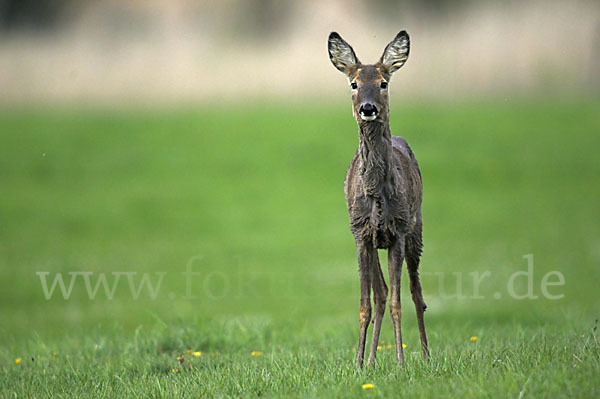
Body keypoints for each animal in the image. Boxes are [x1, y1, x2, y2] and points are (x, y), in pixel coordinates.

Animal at [328, 31, 432, 368]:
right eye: (354, 83)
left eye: (384, 82)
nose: (368, 107)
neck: (375, 196)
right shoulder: (361, 233)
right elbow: (367, 303)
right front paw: (359, 363)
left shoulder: (397, 230)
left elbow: (400, 301)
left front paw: (400, 362)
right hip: (377, 241)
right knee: (382, 293)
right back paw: (373, 360)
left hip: (416, 229)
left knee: (416, 293)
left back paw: (425, 356)